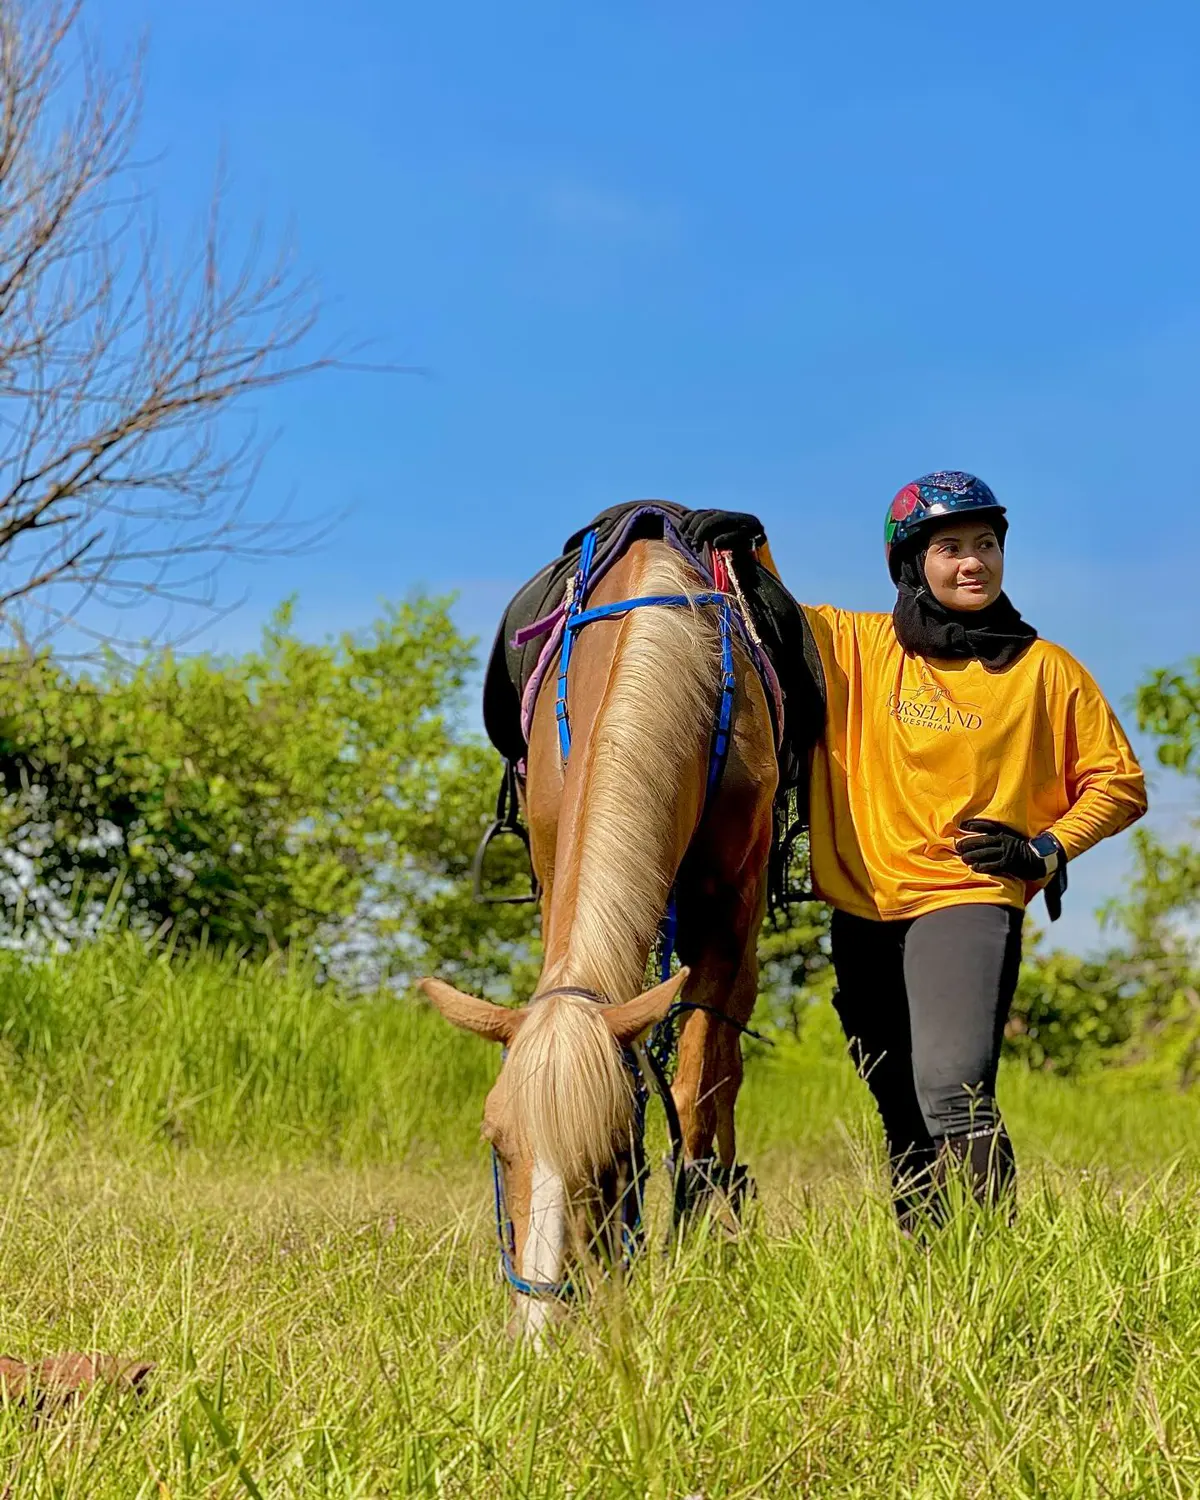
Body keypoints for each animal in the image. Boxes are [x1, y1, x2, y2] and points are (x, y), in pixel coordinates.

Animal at [421, 534, 779, 1343]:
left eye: (616, 1152)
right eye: (497, 1144)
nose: (538, 1326)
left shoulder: (730, 920)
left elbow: (698, 1090)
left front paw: (692, 1254)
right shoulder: (555, 873)